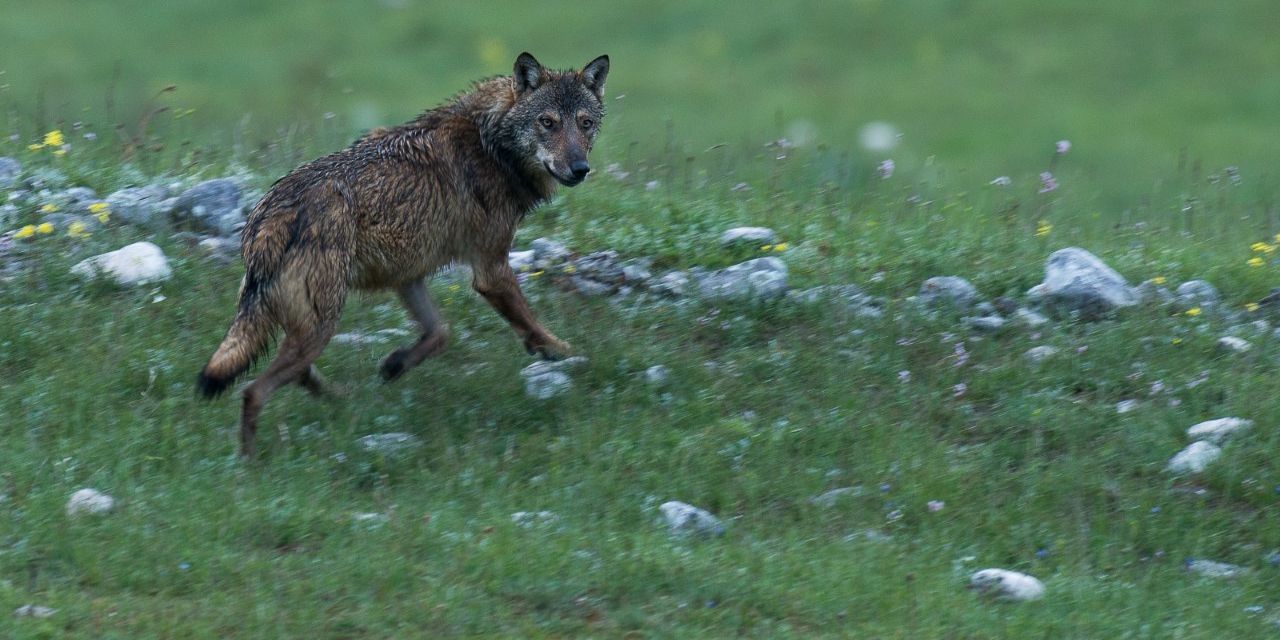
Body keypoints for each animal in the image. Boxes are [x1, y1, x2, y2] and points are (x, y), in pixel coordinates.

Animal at [196, 52, 609, 457]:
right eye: (547, 123)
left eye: (585, 124)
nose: (580, 169)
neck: (491, 144)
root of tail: (270, 214)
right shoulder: (490, 271)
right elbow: (532, 326)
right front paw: (565, 353)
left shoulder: (408, 276)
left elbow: (440, 333)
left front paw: (396, 364)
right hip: (319, 327)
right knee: (253, 390)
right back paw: (250, 462)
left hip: (304, 327)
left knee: (296, 375)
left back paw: (346, 401)